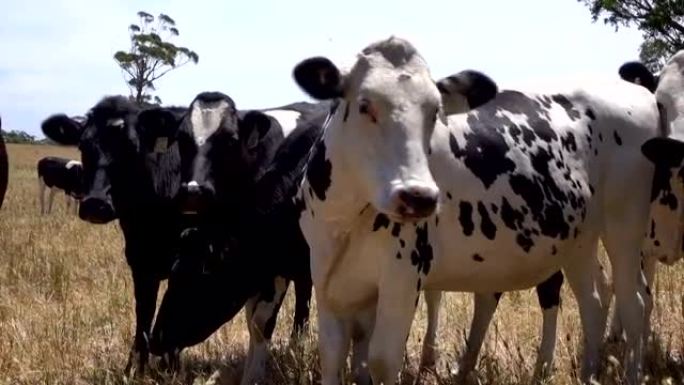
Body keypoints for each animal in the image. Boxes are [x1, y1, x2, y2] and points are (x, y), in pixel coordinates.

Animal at [40, 96, 190, 376]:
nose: (95, 204)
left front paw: (171, 366)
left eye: (131, 147)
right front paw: (135, 367)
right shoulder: (141, 262)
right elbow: (144, 312)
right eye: (83, 145)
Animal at [150, 93, 332, 384]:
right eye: (173, 274)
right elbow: (255, 322)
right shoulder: (274, 268)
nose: (156, 339)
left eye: (200, 278)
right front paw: (251, 373)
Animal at [294, 36, 656, 384]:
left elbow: (382, 360)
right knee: (594, 298)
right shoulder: (325, 275)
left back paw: (631, 373)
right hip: (578, 239)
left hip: (625, 224)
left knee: (633, 301)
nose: (419, 196)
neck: (344, 221)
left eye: (435, 111)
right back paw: (588, 373)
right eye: (365, 105)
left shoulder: (403, 275)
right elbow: (332, 354)